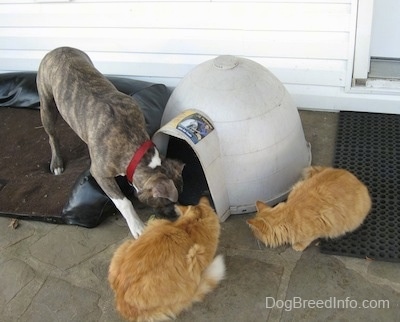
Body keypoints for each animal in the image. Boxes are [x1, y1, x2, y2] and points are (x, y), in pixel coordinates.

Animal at [36, 46, 184, 238]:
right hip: (46, 105)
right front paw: (137, 226)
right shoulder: (100, 174)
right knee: (52, 135)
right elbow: (123, 202)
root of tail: (59, 49)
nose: (178, 216)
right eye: (166, 202)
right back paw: (57, 163)